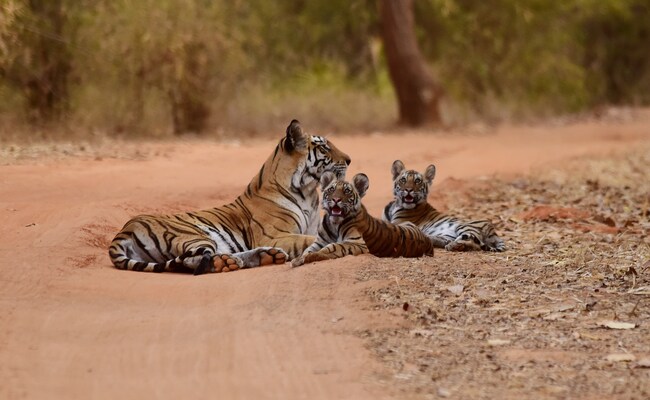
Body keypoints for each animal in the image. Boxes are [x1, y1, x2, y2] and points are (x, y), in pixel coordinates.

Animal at [108, 120, 351, 275]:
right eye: (324, 148)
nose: (349, 159)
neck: (308, 191)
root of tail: (124, 230)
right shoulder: (275, 235)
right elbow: (309, 240)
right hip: (193, 235)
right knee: (193, 261)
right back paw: (231, 262)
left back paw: (266, 257)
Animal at [291, 171, 435, 267]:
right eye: (331, 189)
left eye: (347, 191)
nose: (336, 199)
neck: (334, 223)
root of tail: (428, 241)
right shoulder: (319, 241)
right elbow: (308, 249)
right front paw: (300, 258)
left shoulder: (357, 243)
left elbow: (333, 246)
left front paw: (309, 257)